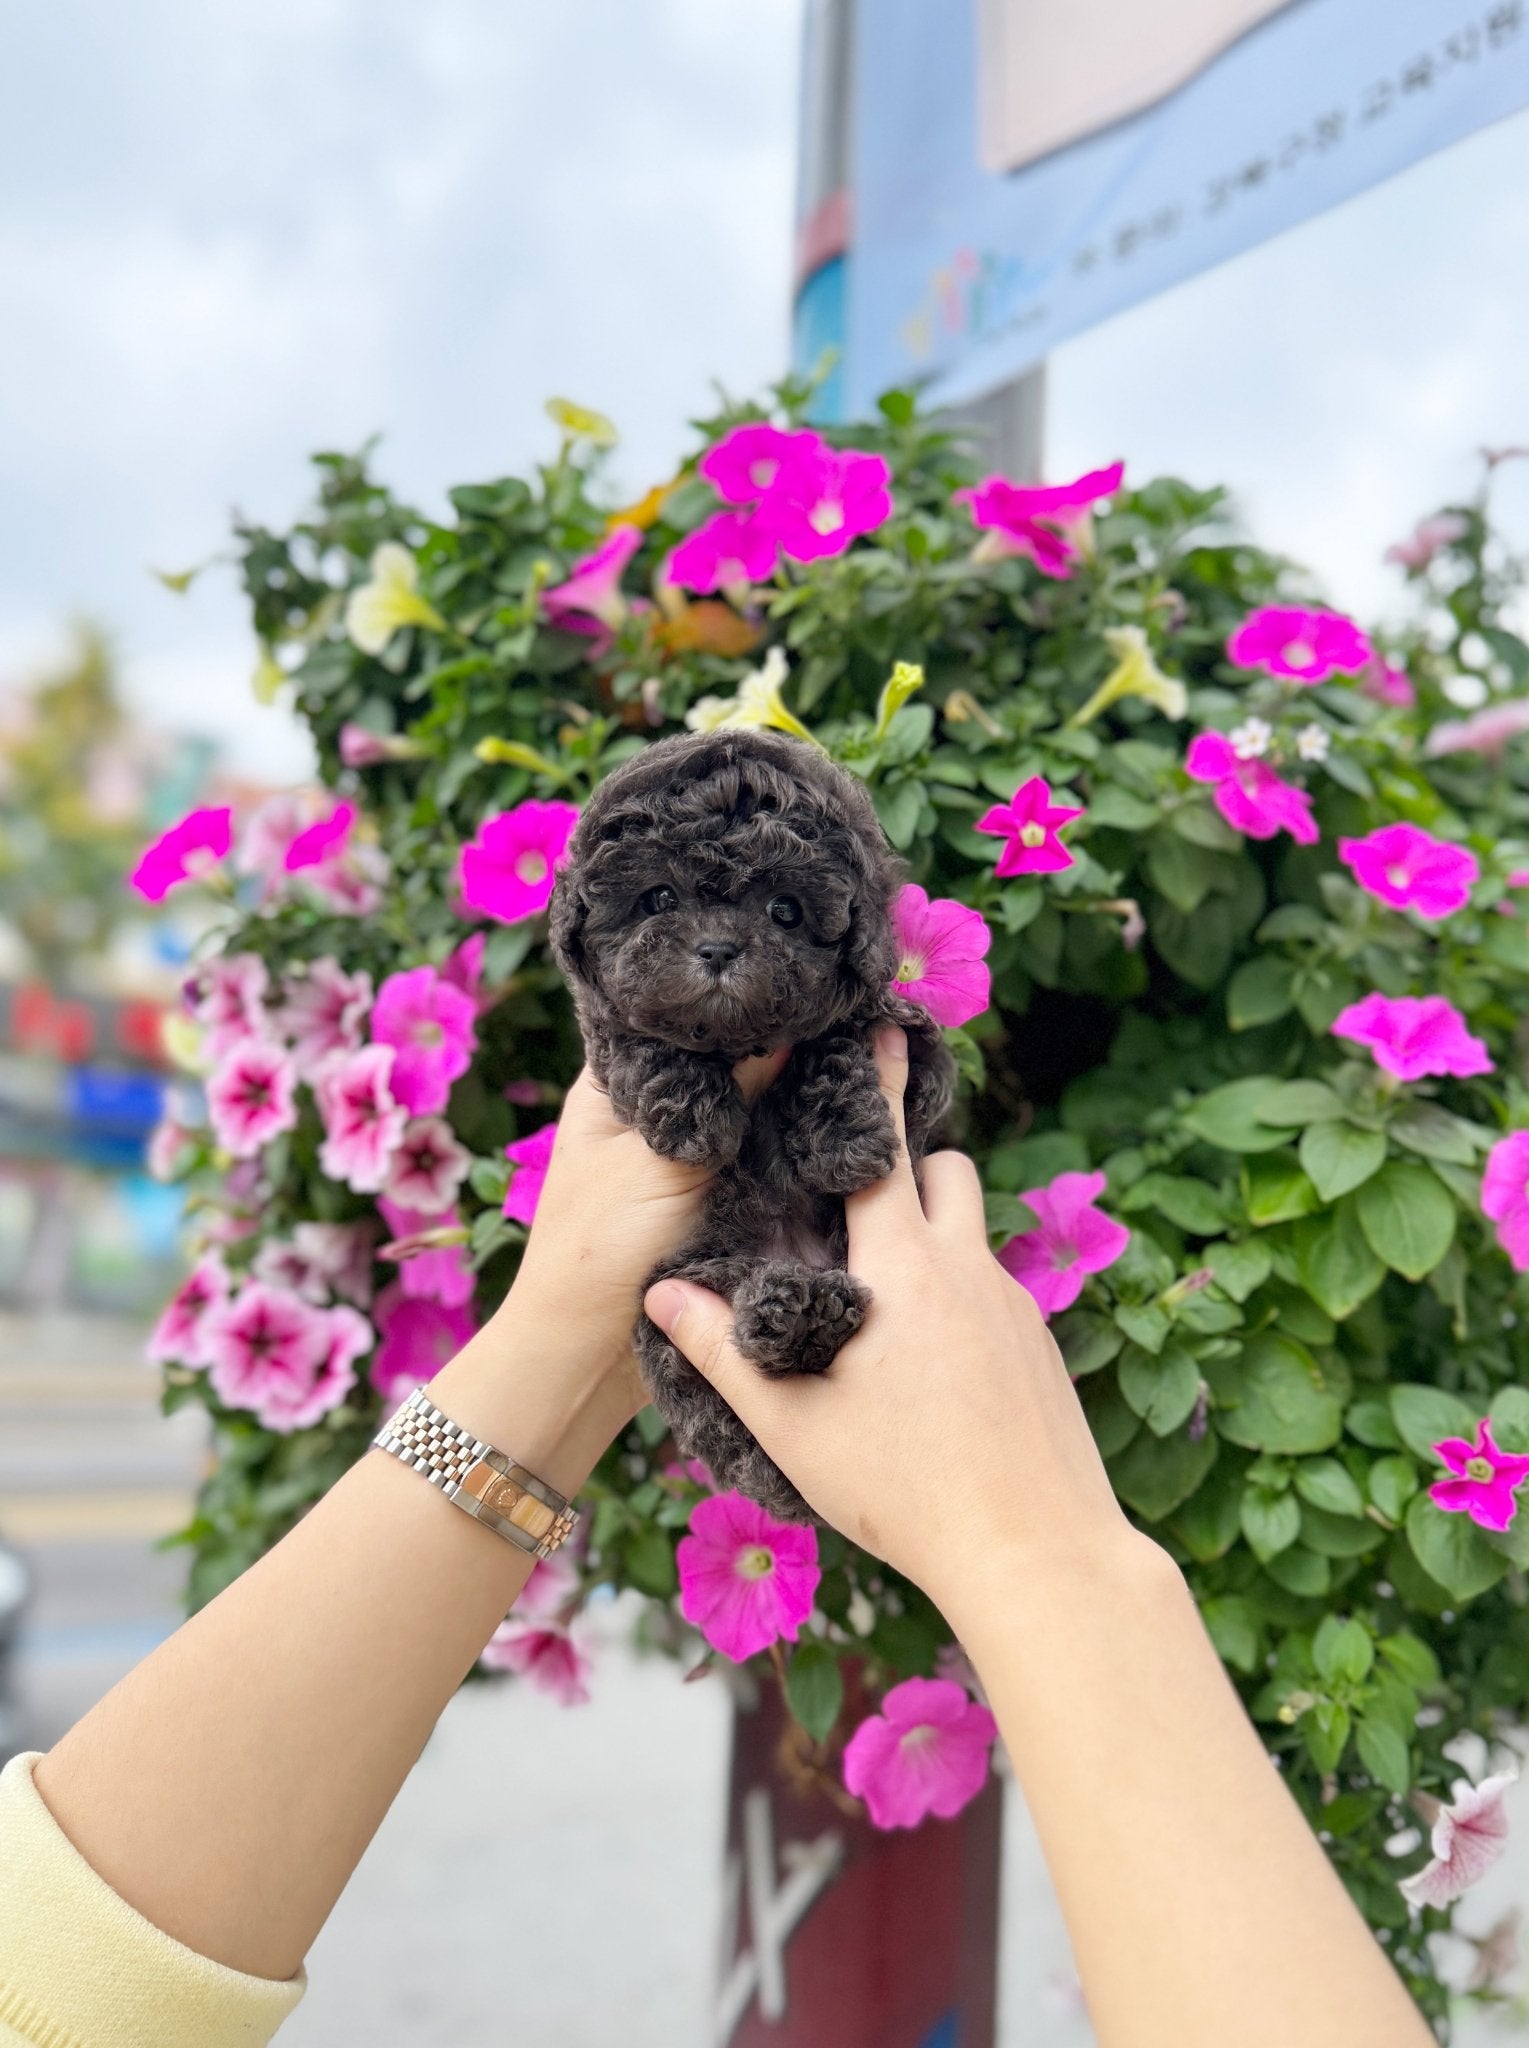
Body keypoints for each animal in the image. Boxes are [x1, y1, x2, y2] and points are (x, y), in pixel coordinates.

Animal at [548, 724, 957, 1523]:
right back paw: (792, 1316)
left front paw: (847, 1142)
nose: (716, 949)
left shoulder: (908, 1041)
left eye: (785, 910)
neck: (740, 1045)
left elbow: (840, 1041)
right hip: (678, 1291)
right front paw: (694, 1117)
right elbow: (644, 1041)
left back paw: (810, 1318)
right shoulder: (606, 1038)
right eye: (658, 898)